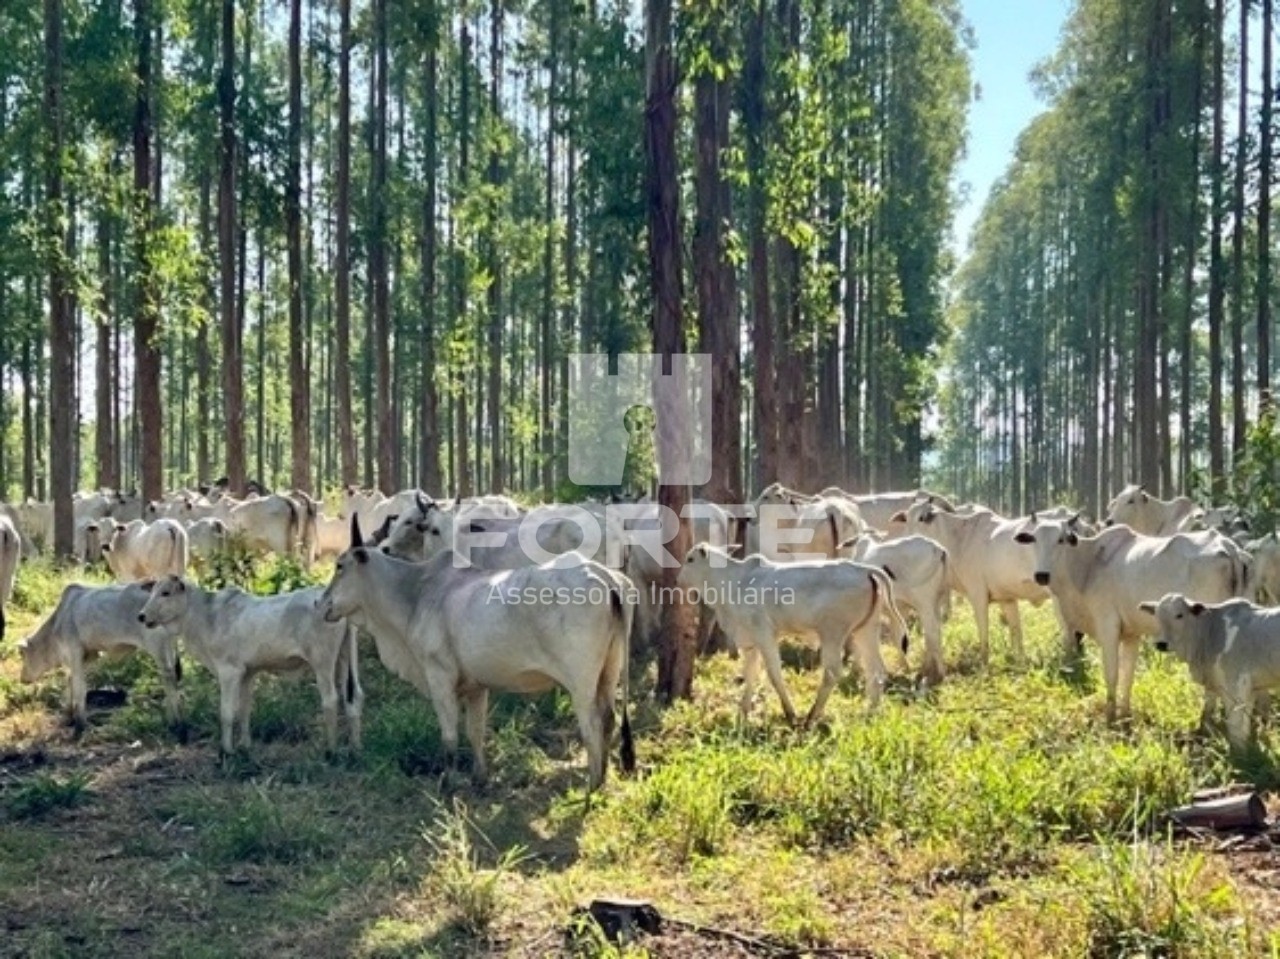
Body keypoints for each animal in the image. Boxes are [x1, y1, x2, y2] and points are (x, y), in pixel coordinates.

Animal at [18, 578, 183, 727]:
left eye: (22, 656)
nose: (22, 678)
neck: (56, 623)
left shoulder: (74, 652)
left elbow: (79, 687)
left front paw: (80, 723)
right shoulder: (90, 655)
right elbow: (72, 681)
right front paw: (70, 713)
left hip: (159, 650)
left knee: (169, 680)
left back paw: (175, 722)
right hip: (169, 648)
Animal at [675, 537, 906, 727]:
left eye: (690, 559)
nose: (678, 580)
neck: (734, 582)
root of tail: (865, 570)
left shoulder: (765, 635)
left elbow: (774, 674)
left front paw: (790, 714)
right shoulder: (751, 641)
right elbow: (750, 675)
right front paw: (742, 714)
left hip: (832, 633)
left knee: (833, 673)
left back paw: (811, 717)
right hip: (866, 630)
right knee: (876, 671)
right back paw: (870, 713)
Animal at [1008, 517, 1249, 717]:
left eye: (1061, 540)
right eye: (1034, 539)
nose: (1041, 575)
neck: (1088, 565)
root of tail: (1228, 548)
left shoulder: (1108, 626)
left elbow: (1112, 674)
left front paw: (1110, 716)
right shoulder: (1132, 634)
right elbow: (1128, 676)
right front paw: (1124, 713)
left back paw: (1206, 720)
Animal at [1141, 591, 1280, 747]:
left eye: (1179, 615)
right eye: (1157, 616)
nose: (1161, 644)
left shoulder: (1236, 686)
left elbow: (1236, 729)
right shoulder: (1246, 689)